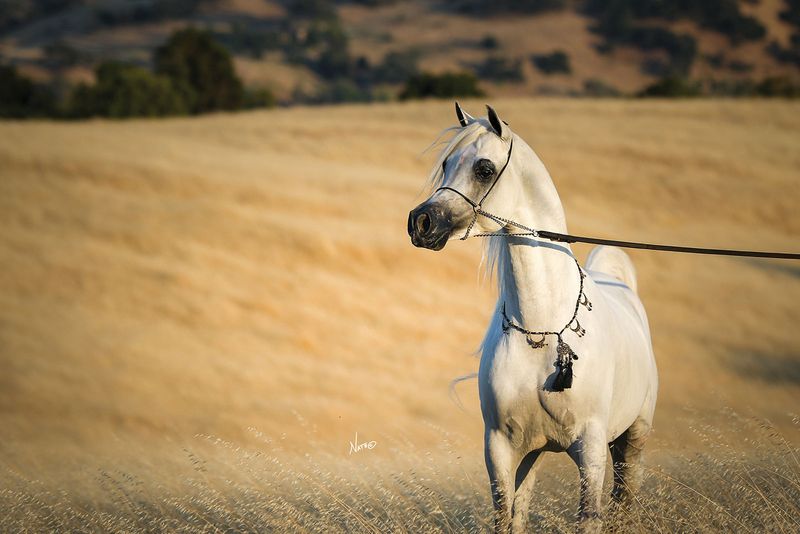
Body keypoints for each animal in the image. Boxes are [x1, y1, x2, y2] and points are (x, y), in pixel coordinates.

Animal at [410, 102, 660, 532]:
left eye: (484, 168)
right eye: (445, 165)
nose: (420, 223)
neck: (542, 328)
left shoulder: (591, 447)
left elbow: (589, 517)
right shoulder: (502, 447)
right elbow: (507, 517)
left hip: (632, 442)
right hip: (535, 453)